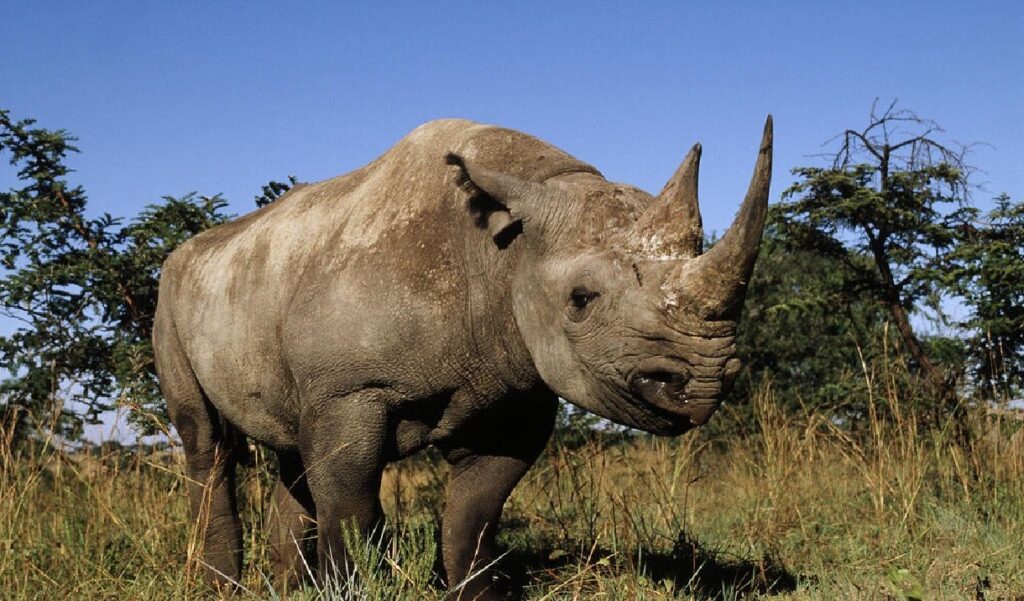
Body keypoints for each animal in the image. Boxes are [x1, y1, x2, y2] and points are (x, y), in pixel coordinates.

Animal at [152, 116, 772, 599]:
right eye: (580, 299)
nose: (702, 385)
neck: (506, 251)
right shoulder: (349, 388)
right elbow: (352, 506)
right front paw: (350, 590)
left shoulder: (517, 390)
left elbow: (474, 514)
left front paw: (480, 596)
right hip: (173, 293)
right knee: (207, 443)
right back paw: (220, 587)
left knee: (289, 445)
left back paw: (285, 587)